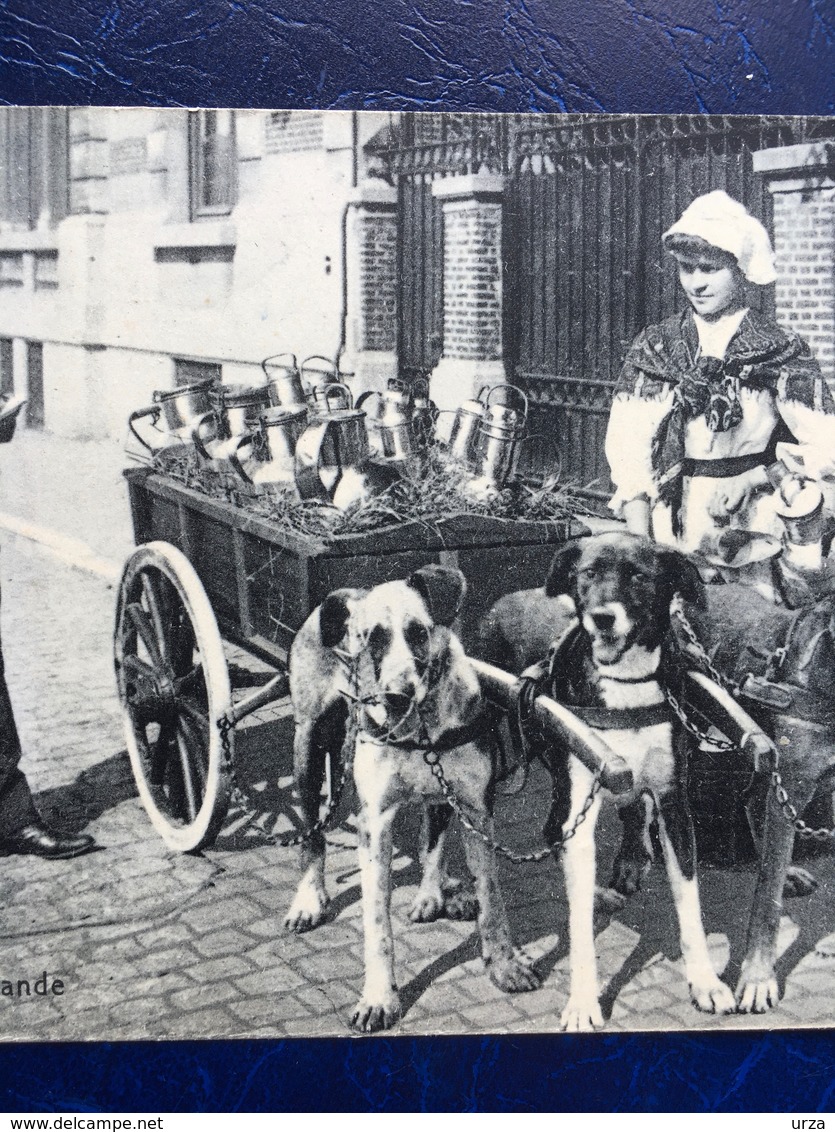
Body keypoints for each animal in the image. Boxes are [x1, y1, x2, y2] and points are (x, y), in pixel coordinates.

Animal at [282, 566, 536, 1036]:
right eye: (372, 639)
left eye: (418, 631)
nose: (397, 695)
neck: (421, 729)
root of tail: (343, 593)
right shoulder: (375, 822)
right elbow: (377, 923)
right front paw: (379, 998)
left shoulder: (477, 809)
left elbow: (491, 897)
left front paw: (504, 965)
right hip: (306, 745)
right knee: (312, 834)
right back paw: (308, 899)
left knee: (433, 832)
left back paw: (433, 893)